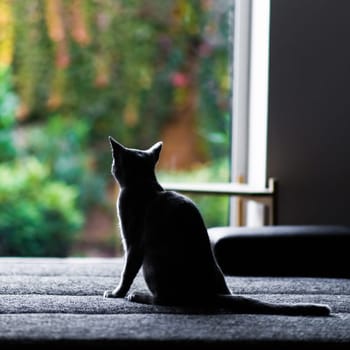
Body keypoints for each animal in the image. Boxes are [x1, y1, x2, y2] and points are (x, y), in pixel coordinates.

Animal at [103, 137, 330, 318]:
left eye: (114, 162)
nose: (111, 167)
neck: (145, 186)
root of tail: (211, 293)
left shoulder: (133, 244)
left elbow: (126, 272)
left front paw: (116, 294)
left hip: (150, 263)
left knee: (165, 299)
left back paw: (138, 296)